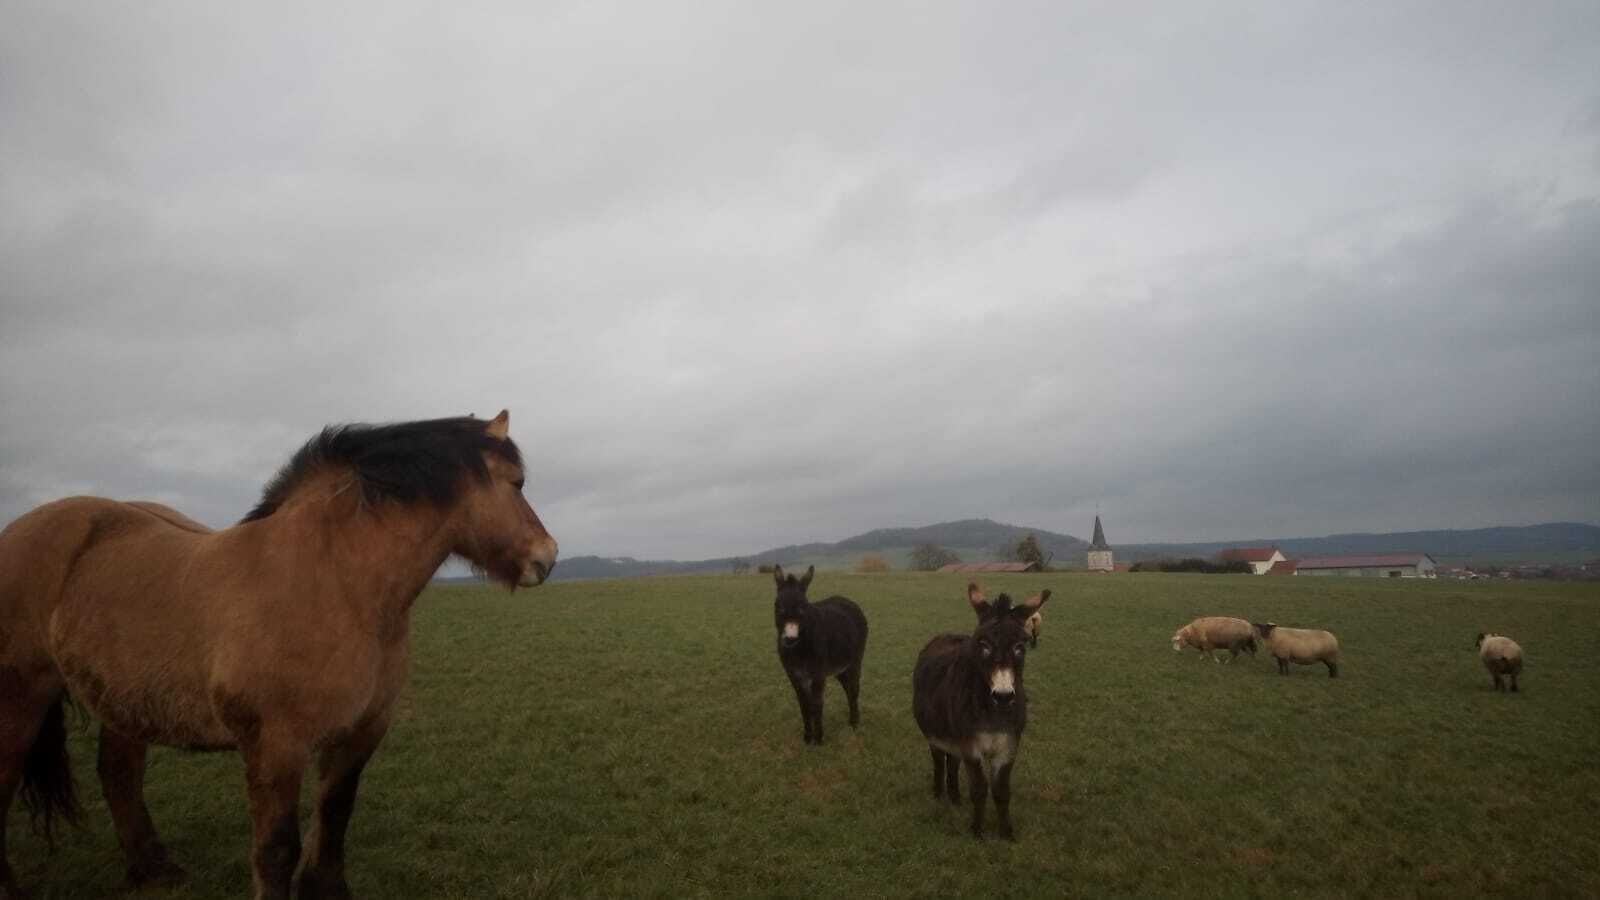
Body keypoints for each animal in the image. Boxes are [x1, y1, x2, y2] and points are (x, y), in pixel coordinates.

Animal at [0, 410, 557, 900]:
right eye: (517, 483)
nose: (547, 559)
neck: (336, 584)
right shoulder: (276, 745)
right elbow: (276, 850)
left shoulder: (361, 732)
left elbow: (334, 820)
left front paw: (327, 891)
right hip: (21, 698)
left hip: (126, 703)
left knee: (118, 776)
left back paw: (154, 871)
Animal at [772, 565, 867, 745]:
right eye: (778, 606)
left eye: (803, 607)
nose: (790, 639)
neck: (799, 651)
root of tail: (847, 600)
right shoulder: (794, 676)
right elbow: (804, 706)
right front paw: (808, 737)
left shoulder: (818, 674)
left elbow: (816, 705)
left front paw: (819, 739)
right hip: (839, 668)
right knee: (848, 688)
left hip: (855, 661)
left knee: (854, 689)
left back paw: (854, 722)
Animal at [912, 582, 1049, 840]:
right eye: (983, 645)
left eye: (1020, 646)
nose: (1003, 696)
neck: (992, 714)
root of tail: (946, 635)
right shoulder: (970, 746)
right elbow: (979, 788)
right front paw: (977, 831)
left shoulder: (1008, 746)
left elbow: (1002, 790)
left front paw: (1006, 833)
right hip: (935, 735)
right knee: (939, 760)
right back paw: (939, 794)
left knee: (952, 762)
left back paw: (955, 798)